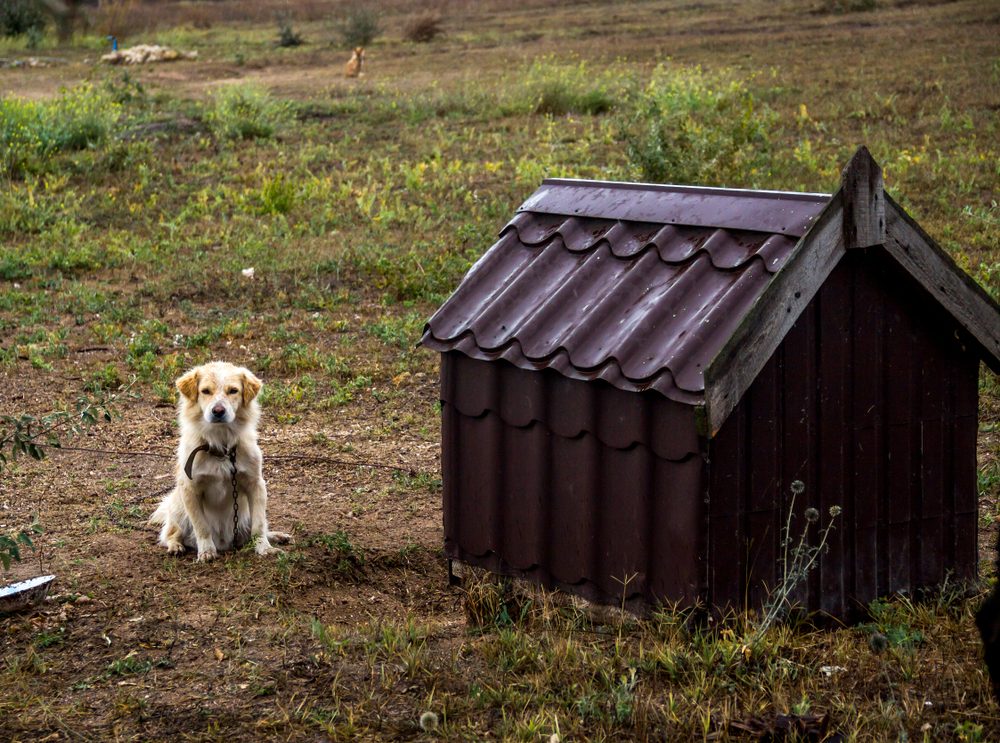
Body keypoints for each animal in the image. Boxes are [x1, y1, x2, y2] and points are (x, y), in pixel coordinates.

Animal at [148, 362, 292, 564]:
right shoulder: (190, 489)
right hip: (178, 507)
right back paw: (176, 546)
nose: (218, 411)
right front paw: (206, 551)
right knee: (170, 533)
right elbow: (201, 526)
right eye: (205, 391)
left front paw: (264, 548)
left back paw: (275, 536)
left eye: (233, 391)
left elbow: (259, 524)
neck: (221, 445)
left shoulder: (256, 484)